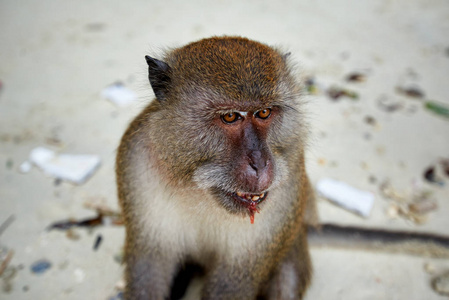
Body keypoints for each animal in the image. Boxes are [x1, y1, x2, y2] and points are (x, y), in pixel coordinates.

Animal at [115, 36, 312, 298]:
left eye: (264, 112)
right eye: (230, 117)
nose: (260, 164)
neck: (197, 191)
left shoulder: (289, 182)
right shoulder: (136, 162)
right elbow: (149, 266)